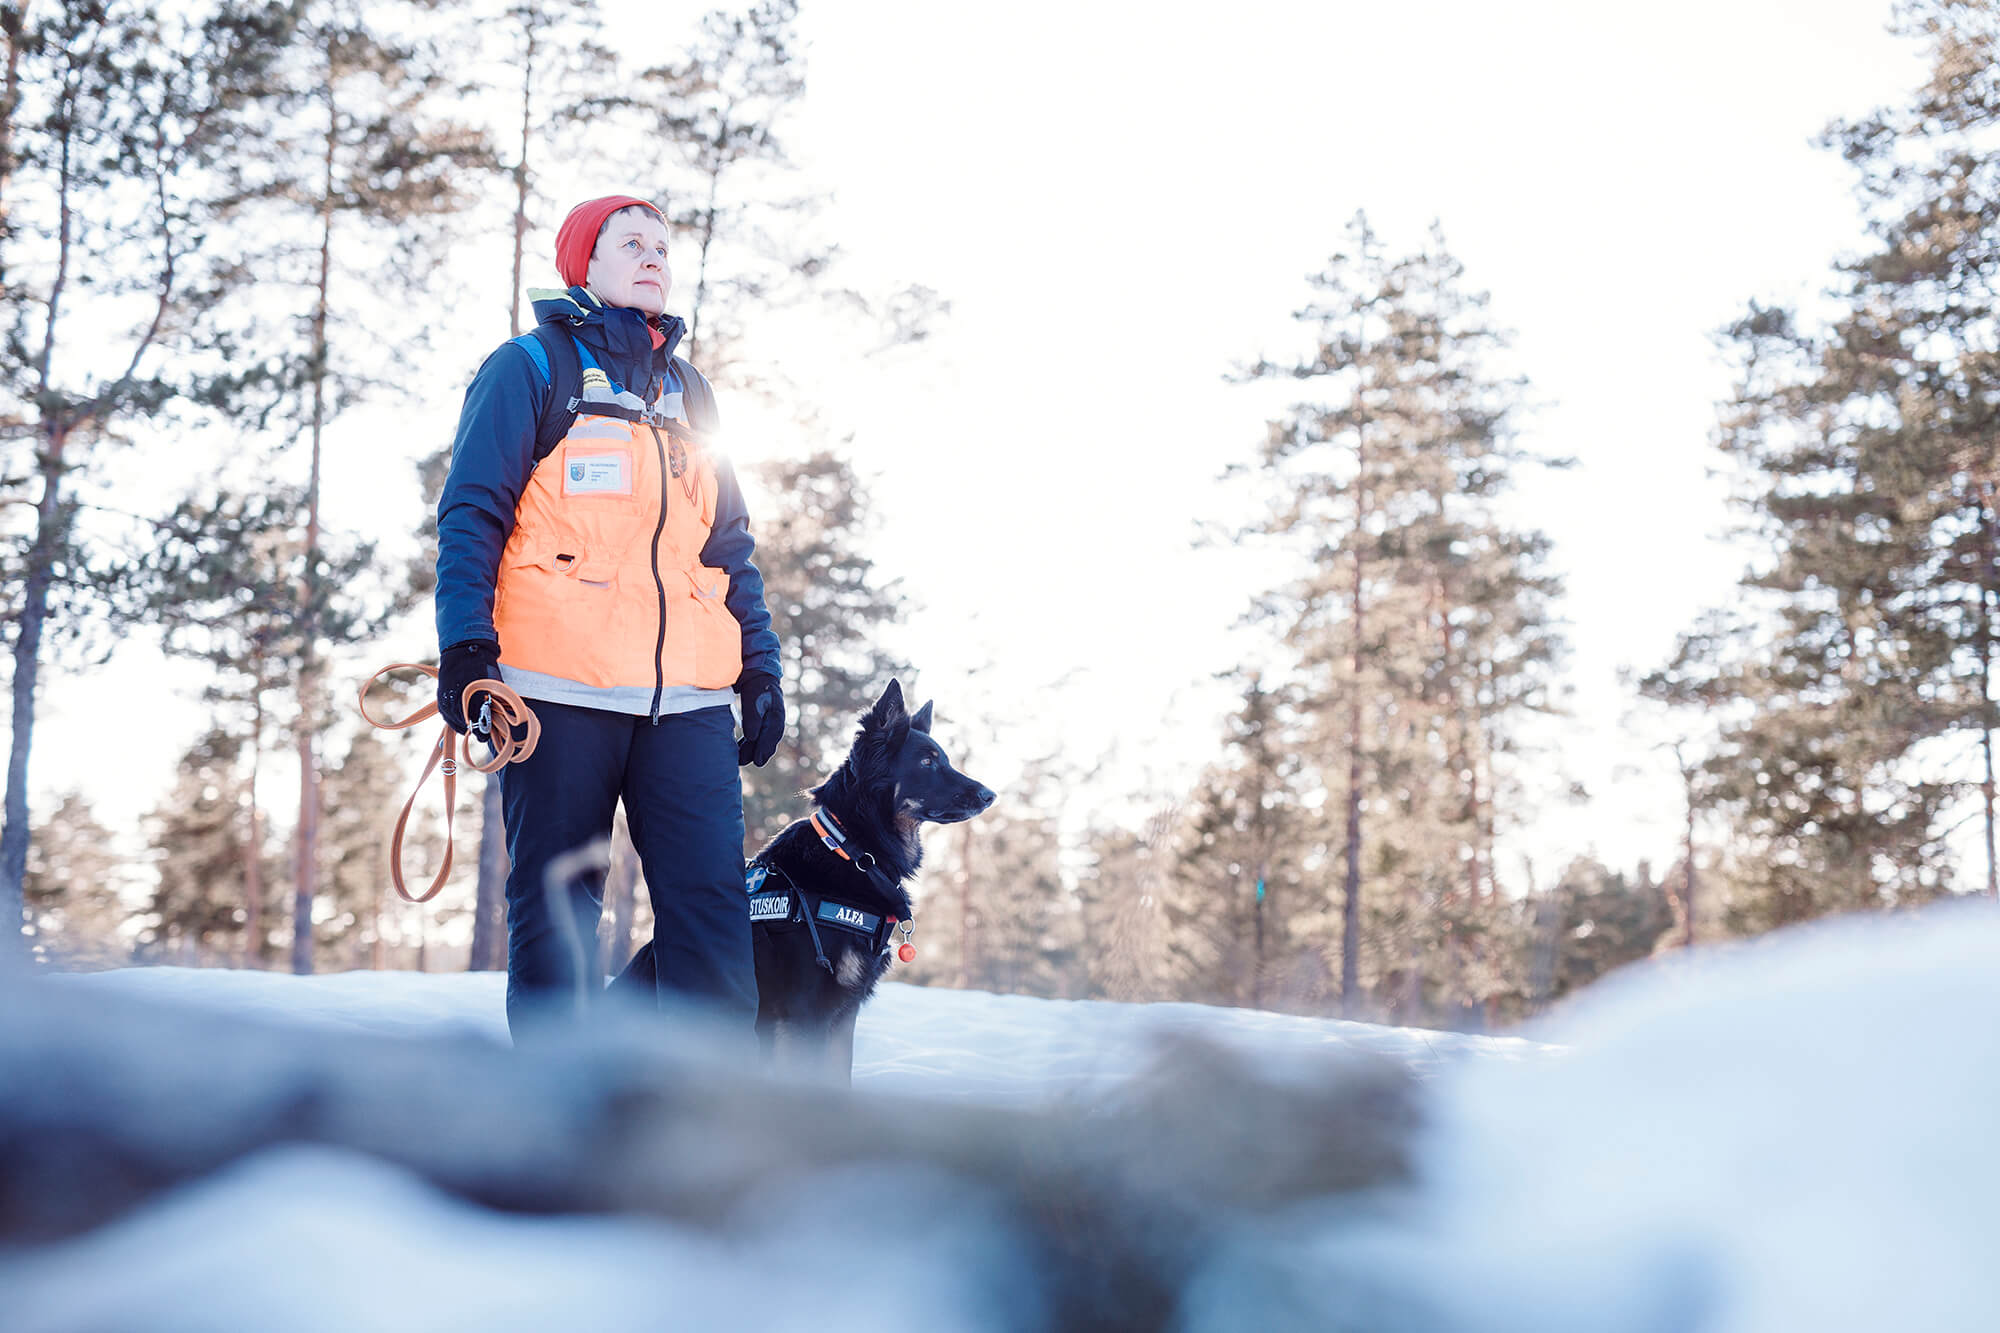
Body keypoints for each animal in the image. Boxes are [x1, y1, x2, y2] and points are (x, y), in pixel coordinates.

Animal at [604, 680, 988, 1072]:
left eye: (944, 759)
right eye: (927, 761)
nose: (990, 795)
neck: (851, 849)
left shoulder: (844, 1013)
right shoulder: (809, 1010)